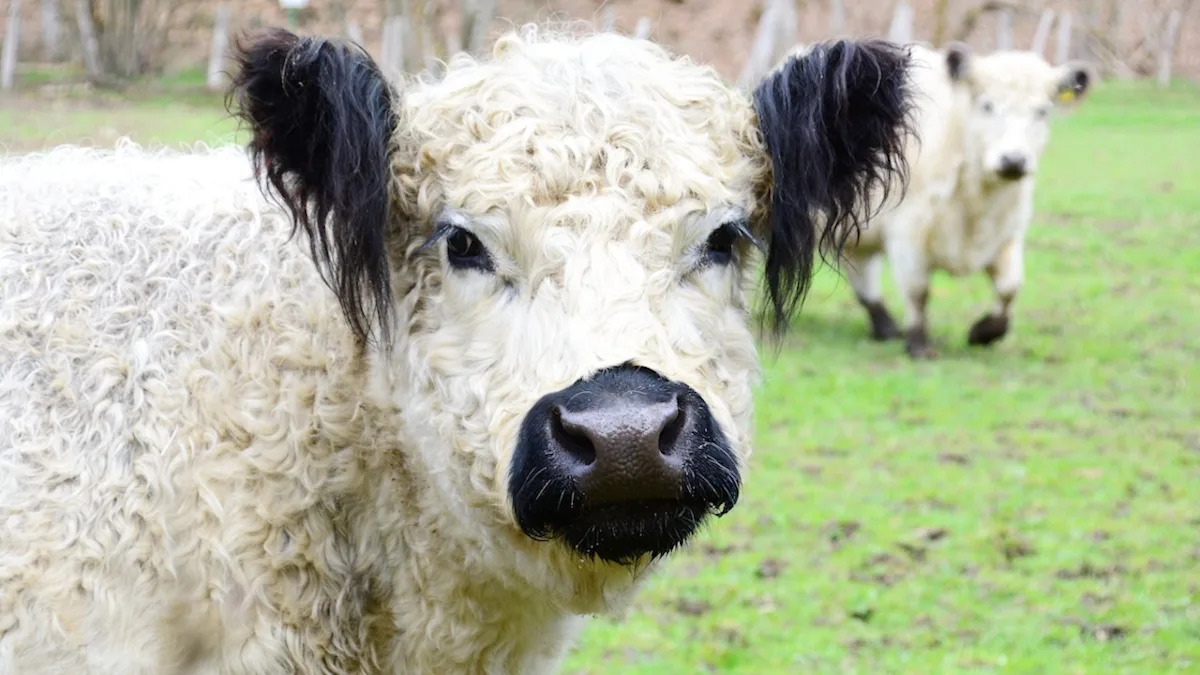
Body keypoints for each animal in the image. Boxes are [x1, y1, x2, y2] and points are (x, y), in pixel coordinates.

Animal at [837, 42, 1092, 358]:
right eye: (987, 105)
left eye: (1042, 111)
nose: (1013, 160)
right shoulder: (908, 234)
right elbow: (918, 291)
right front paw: (918, 345)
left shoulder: (1007, 235)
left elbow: (1010, 288)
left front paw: (983, 332)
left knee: (861, 273)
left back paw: (885, 328)